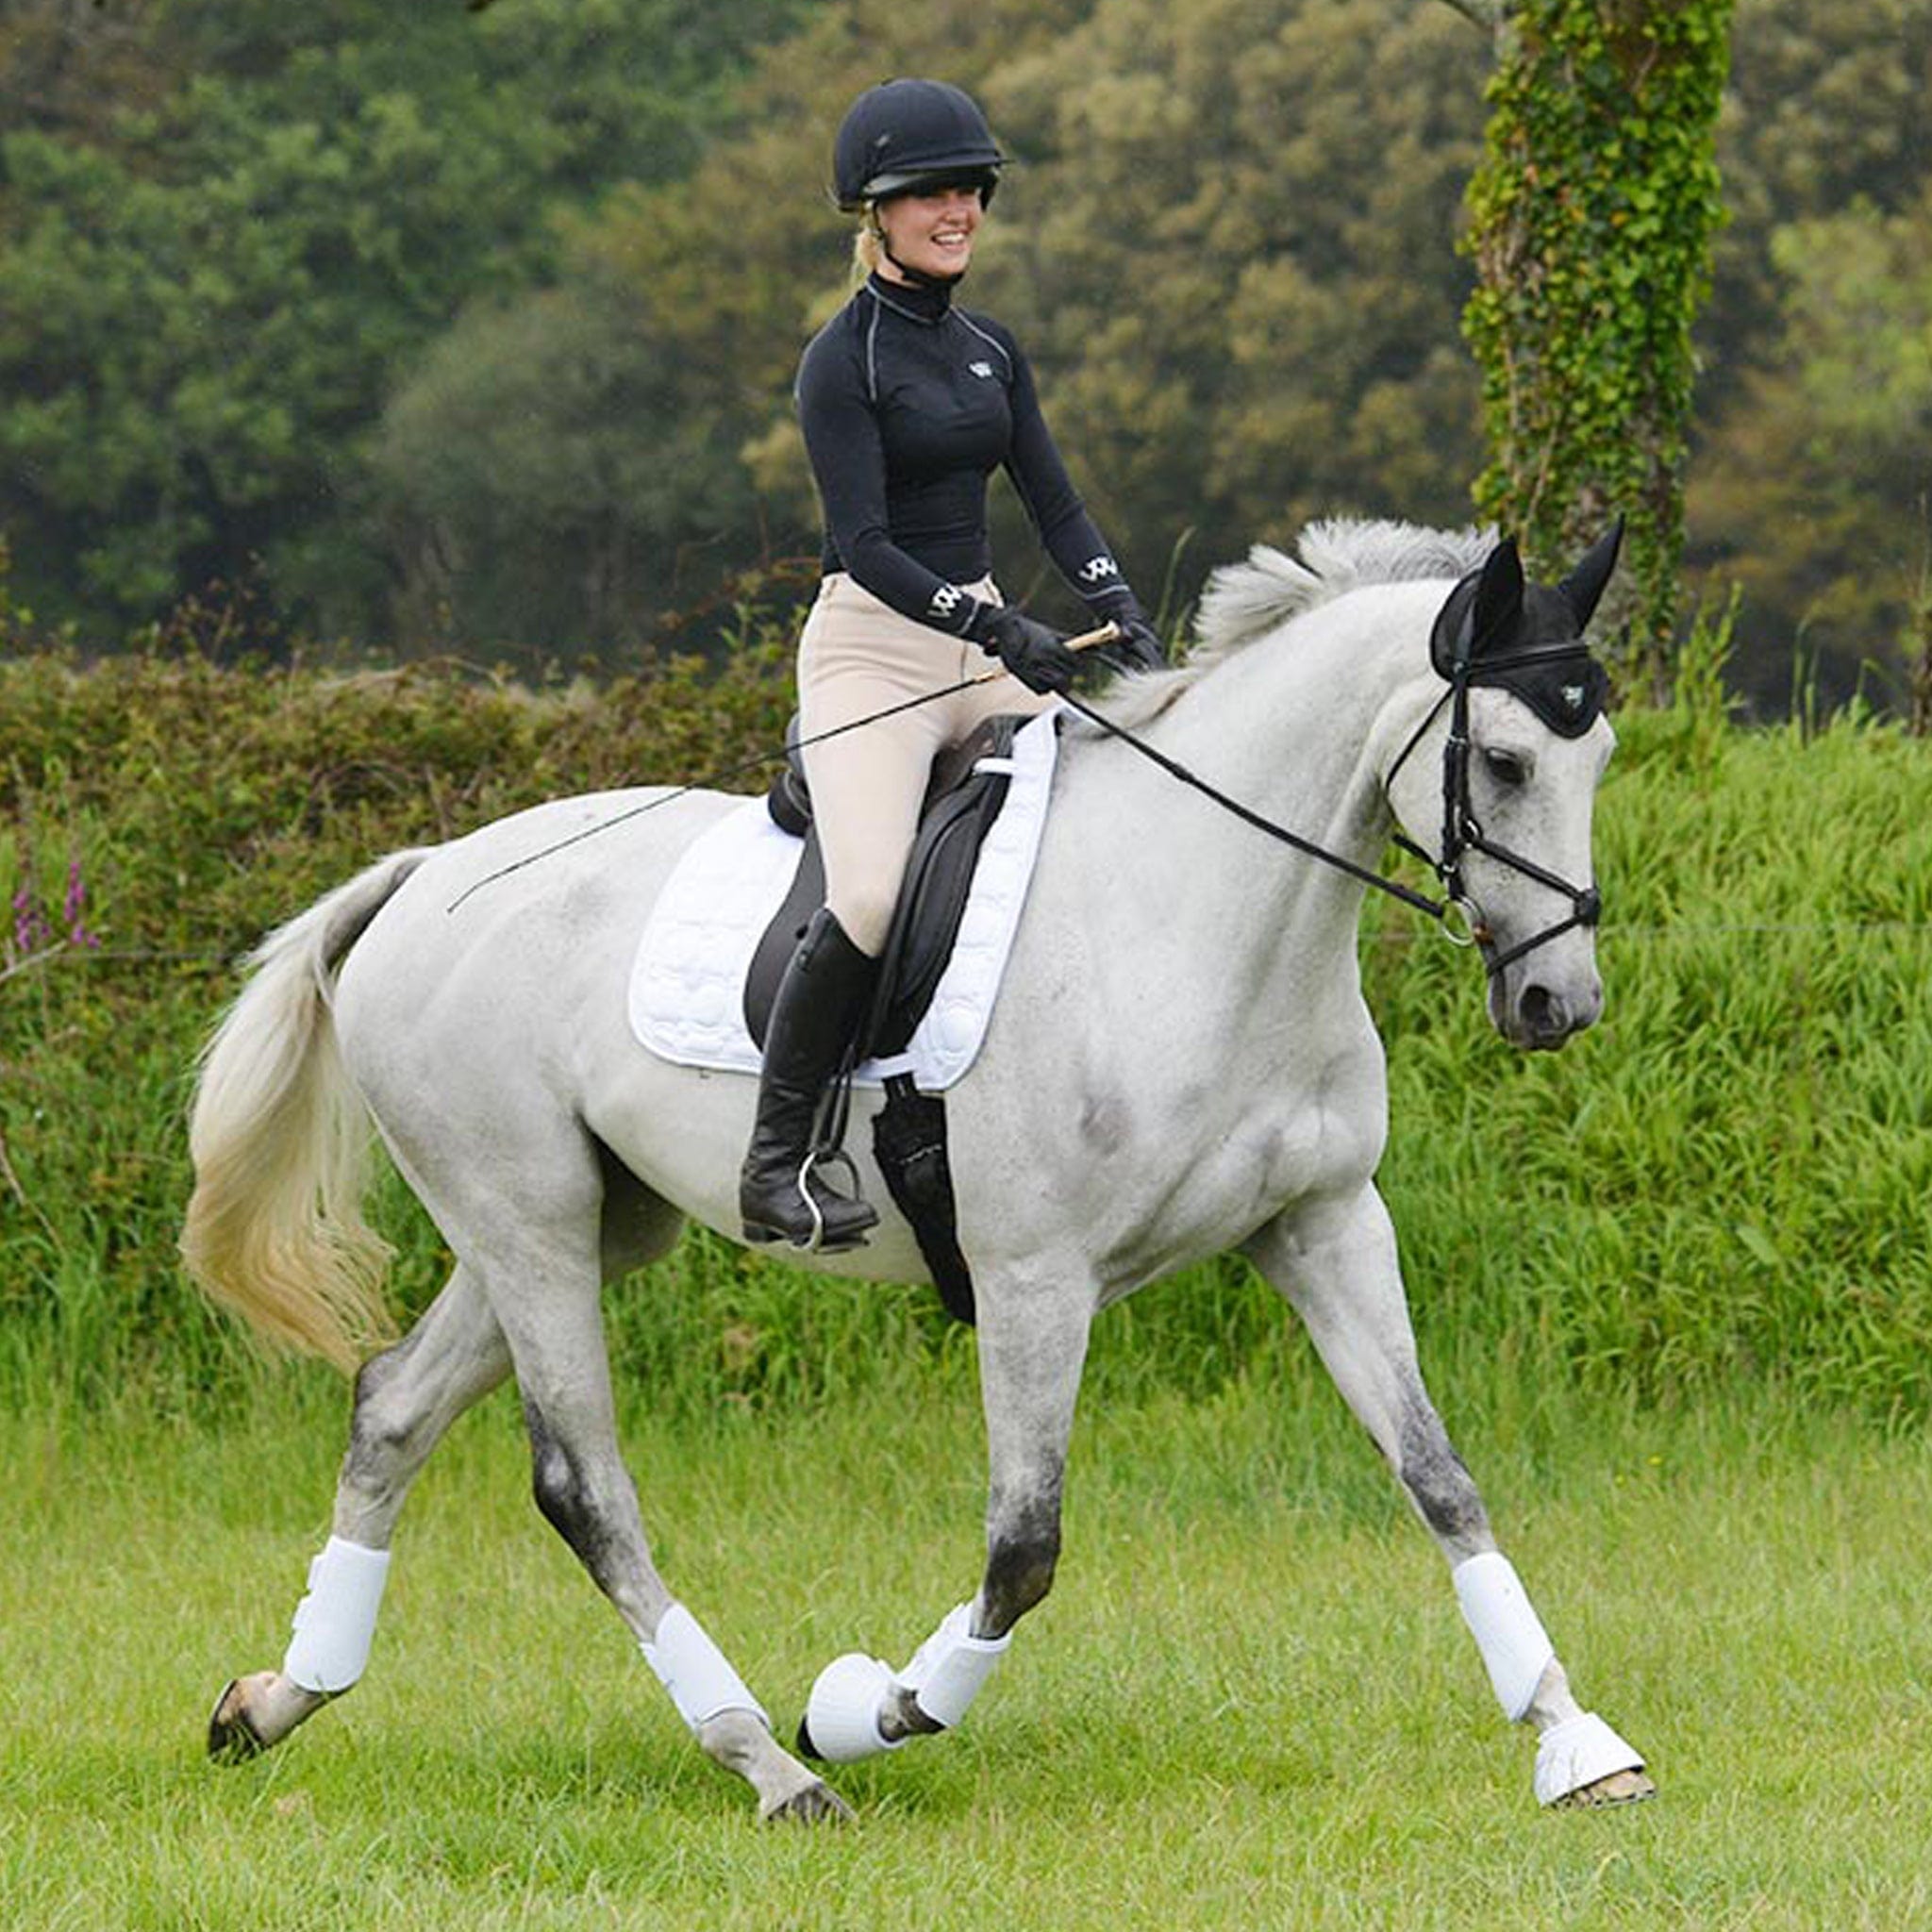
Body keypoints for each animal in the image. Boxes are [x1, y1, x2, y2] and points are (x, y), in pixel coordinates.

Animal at [188, 521, 1654, 1816]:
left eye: (1596, 754)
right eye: (1504, 760)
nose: (1558, 1003)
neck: (1200, 916)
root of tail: (424, 873)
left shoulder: (1325, 1225)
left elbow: (1439, 1476)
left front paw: (1576, 1741)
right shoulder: (1032, 1278)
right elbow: (1023, 1548)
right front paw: (864, 1708)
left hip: (586, 1225)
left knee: (393, 1405)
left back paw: (276, 1697)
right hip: (529, 1221)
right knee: (582, 1486)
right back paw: (767, 1765)